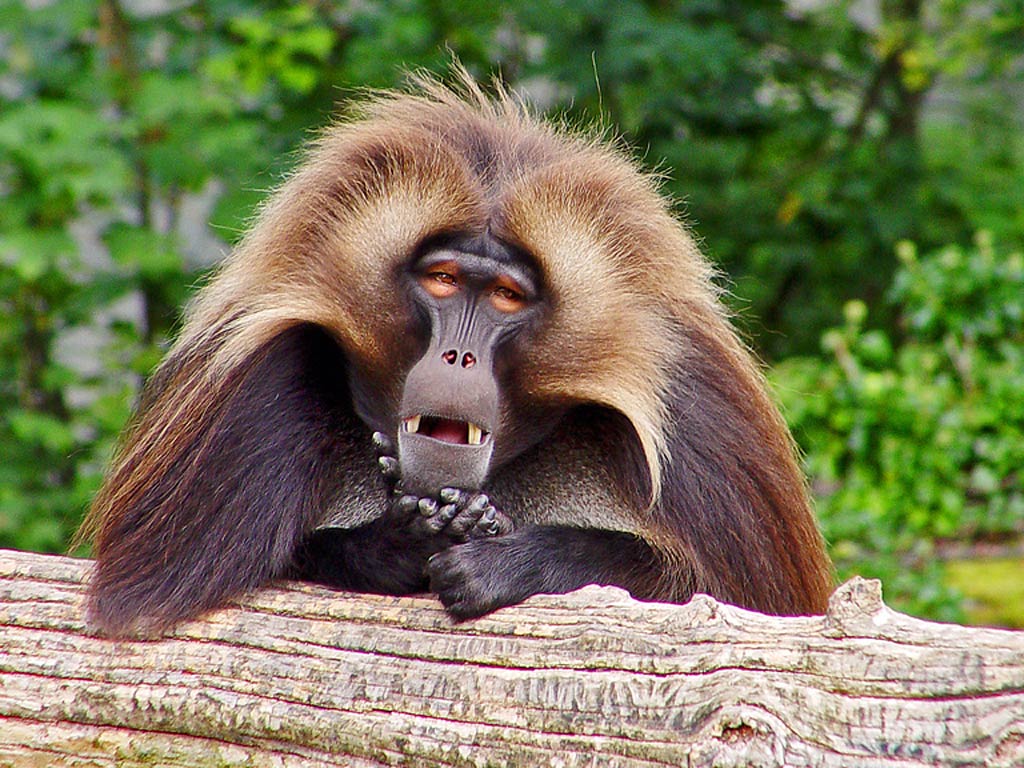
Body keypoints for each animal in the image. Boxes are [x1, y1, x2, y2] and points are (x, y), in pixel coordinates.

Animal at [76, 71, 834, 637]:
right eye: (442, 279)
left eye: (505, 295)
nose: (458, 359)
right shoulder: (249, 382)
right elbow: (147, 597)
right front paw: (399, 544)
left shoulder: (702, 422)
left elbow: (739, 612)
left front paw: (510, 561)